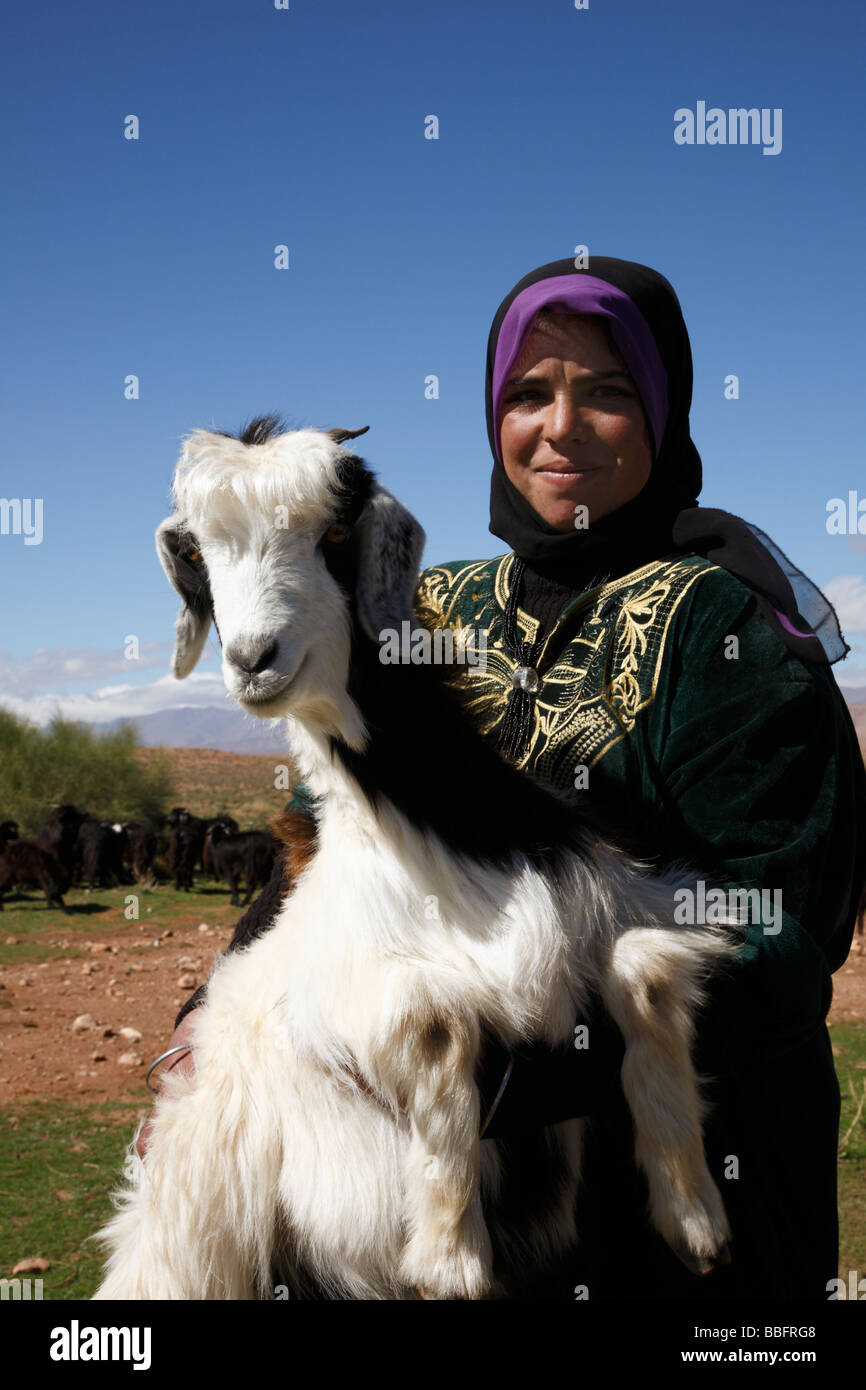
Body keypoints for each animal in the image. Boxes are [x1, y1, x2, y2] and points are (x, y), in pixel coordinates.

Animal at [96, 419, 745, 1301]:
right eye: (196, 550)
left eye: (334, 533)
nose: (254, 660)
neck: (437, 824)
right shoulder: (345, 995)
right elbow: (441, 1028)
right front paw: (451, 1255)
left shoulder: (632, 903)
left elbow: (643, 976)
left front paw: (694, 1217)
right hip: (189, 1231)